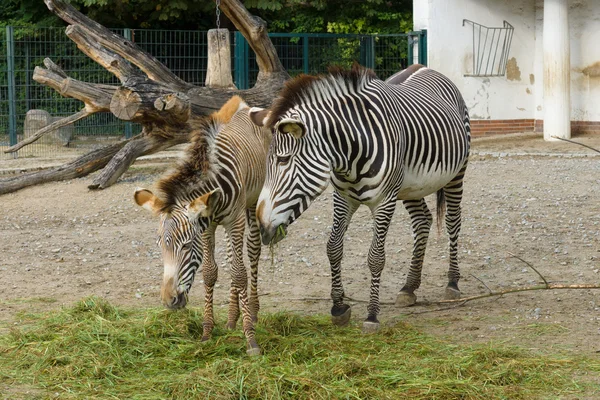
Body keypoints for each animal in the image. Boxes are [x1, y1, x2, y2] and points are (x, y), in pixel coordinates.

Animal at [135, 96, 270, 356]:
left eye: (186, 246)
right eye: (160, 247)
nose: (168, 301)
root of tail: (245, 106)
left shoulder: (233, 220)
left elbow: (239, 273)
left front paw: (251, 339)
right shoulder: (207, 226)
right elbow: (209, 272)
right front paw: (207, 331)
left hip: (251, 203)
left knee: (252, 250)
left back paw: (253, 311)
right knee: (233, 256)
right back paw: (232, 317)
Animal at [247, 63, 468, 332]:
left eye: (283, 160)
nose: (262, 226)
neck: (349, 154)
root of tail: (425, 67)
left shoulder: (384, 200)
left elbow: (376, 257)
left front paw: (372, 315)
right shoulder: (343, 198)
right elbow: (333, 247)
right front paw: (339, 307)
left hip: (457, 172)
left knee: (453, 222)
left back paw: (453, 283)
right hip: (409, 185)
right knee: (422, 221)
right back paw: (409, 287)